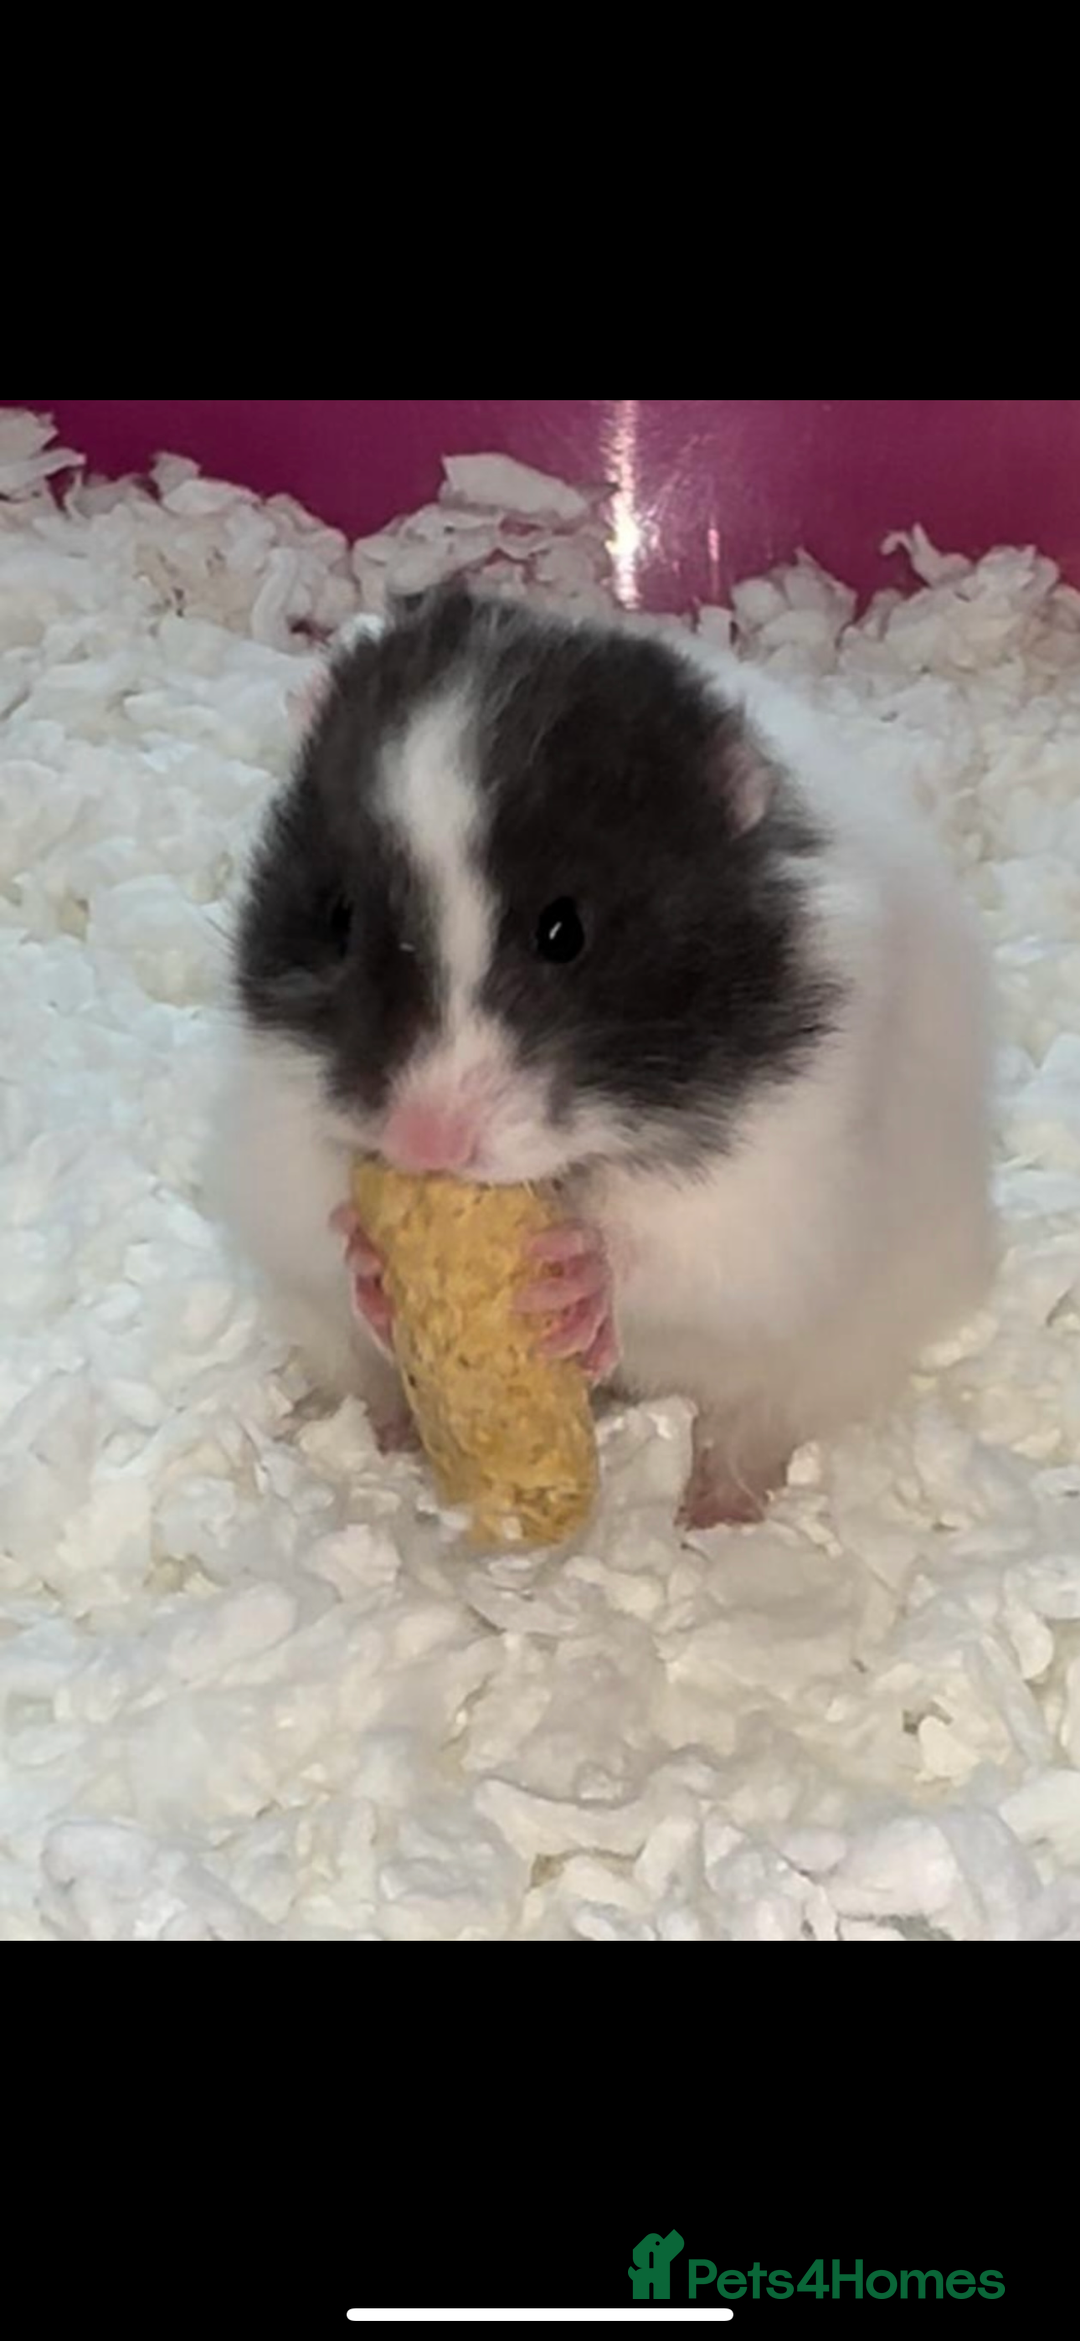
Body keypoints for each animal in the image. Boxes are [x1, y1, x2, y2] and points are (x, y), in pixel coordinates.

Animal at [210, 584, 993, 1527]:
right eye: (339, 917)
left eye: (564, 931)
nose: (424, 1143)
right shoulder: (275, 1129)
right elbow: (316, 1226)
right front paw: (368, 1254)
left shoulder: (777, 1198)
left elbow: (669, 1254)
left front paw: (571, 1277)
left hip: (837, 1349)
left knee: (751, 1425)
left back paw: (714, 1514)